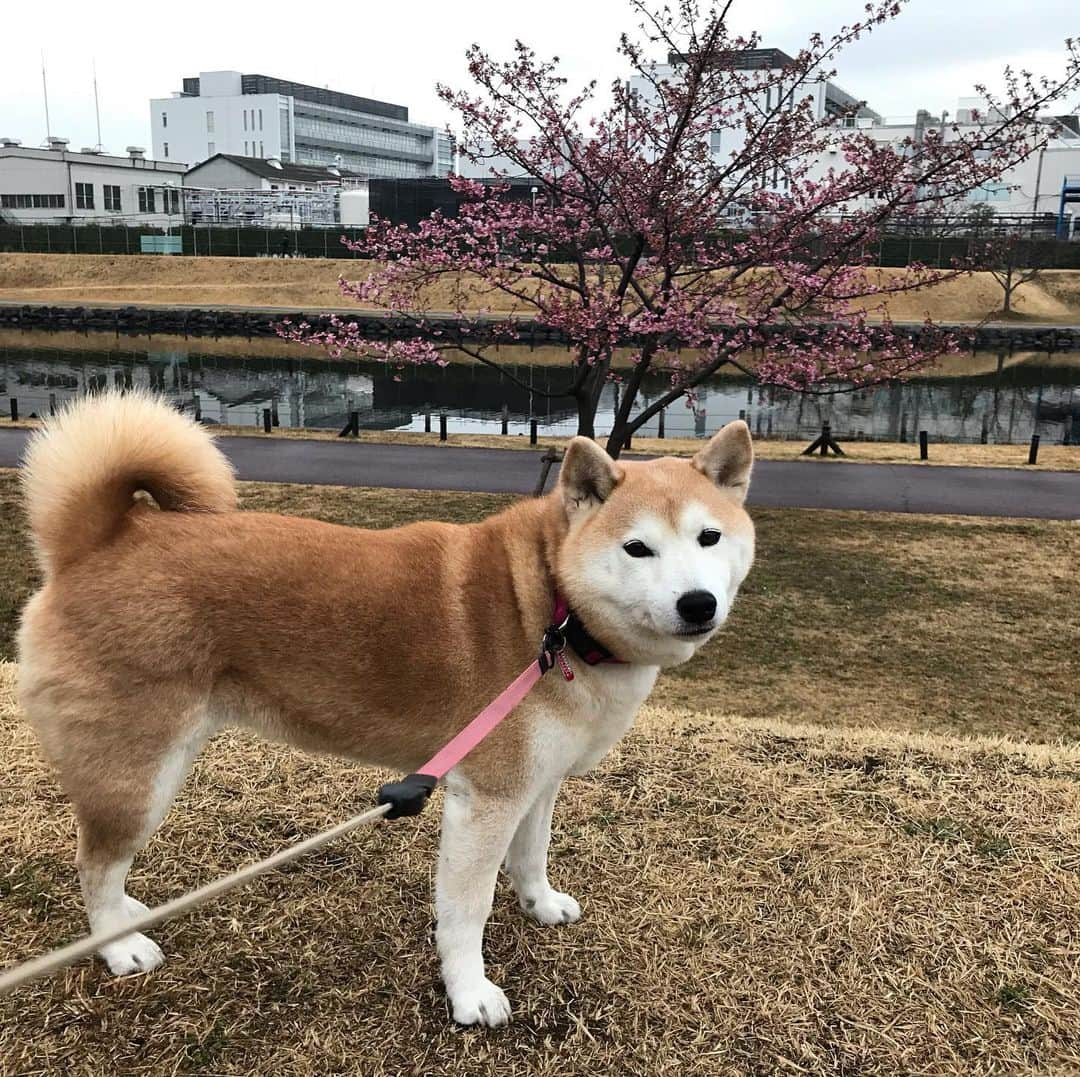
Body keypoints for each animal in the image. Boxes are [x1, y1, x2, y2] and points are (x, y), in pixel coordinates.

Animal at [19, 393, 760, 1024]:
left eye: (709, 538)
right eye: (637, 548)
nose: (698, 603)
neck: (555, 613)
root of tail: (96, 541)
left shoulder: (536, 783)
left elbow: (532, 855)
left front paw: (540, 903)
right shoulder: (485, 800)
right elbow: (466, 910)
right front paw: (470, 993)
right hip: (139, 776)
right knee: (95, 863)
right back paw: (117, 945)